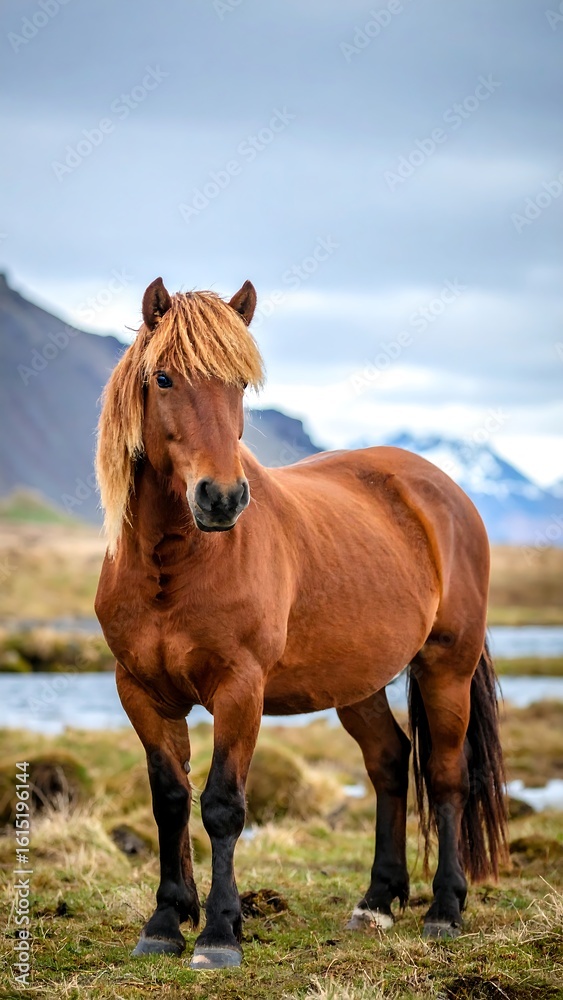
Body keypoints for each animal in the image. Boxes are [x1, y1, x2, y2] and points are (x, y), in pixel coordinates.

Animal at [94, 277, 507, 971]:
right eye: (164, 377)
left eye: (239, 383)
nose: (222, 499)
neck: (170, 567)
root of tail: (446, 492)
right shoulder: (142, 692)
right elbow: (170, 797)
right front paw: (166, 922)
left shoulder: (240, 690)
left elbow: (222, 805)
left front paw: (219, 934)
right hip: (359, 683)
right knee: (390, 762)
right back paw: (376, 901)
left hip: (445, 666)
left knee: (447, 776)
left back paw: (445, 910)